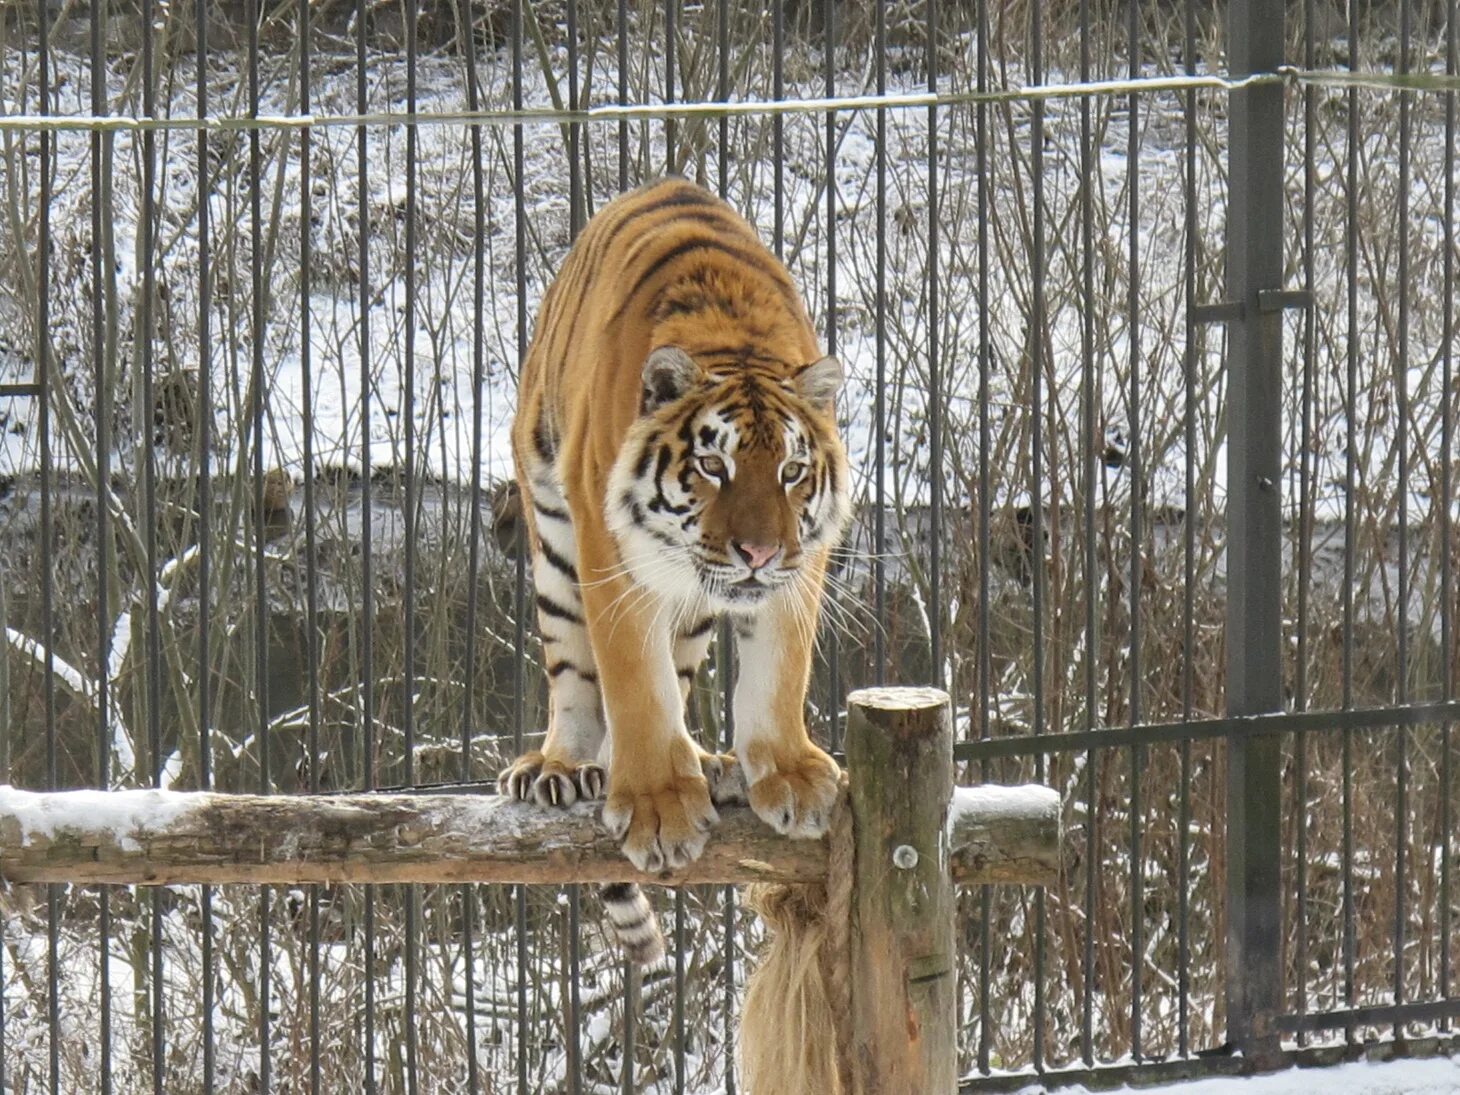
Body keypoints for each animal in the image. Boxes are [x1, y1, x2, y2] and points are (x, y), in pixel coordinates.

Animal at [499, 178, 852, 957]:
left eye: (791, 471)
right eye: (714, 466)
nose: (758, 552)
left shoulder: (800, 562)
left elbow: (780, 668)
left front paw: (789, 773)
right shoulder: (610, 550)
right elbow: (636, 681)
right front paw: (659, 804)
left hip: (693, 610)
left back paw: (712, 764)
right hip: (555, 538)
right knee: (575, 676)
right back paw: (563, 768)